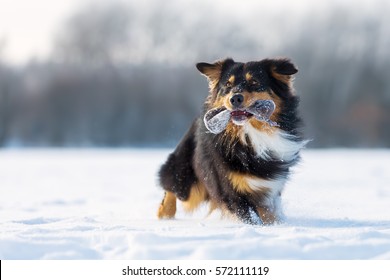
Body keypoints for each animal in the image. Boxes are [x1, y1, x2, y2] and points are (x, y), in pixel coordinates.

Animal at [157, 57, 306, 225]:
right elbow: (251, 218)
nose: (235, 98)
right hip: (188, 179)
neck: (250, 134)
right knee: (172, 185)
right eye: (228, 85)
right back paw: (164, 213)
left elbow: (269, 214)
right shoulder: (230, 189)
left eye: (254, 82)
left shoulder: (270, 190)